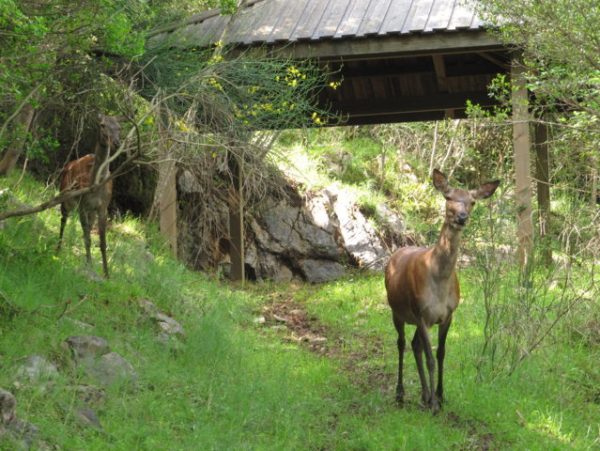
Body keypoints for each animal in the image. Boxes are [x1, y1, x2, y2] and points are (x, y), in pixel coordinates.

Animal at [56, 115, 121, 278]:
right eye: (102, 125)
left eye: (119, 127)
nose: (116, 142)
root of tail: (68, 165)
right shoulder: (82, 205)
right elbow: (87, 239)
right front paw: (89, 265)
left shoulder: (103, 207)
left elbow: (102, 242)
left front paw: (106, 274)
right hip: (65, 196)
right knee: (63, 219)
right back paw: (58, 249)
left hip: (90, 211)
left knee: (87, 229)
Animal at [386, 169, 500, 414]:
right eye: (448, 197)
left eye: (472, 201)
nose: (462, 217)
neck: (439, 283)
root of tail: (396, 252)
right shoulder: (420, 311)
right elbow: (430, 357)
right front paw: (435, 404)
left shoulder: (447, 314)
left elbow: (440, 354)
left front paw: (439, 394)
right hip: (397, 311)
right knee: (401, 343)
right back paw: (400, 393)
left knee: (415, 345)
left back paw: (424, 394)